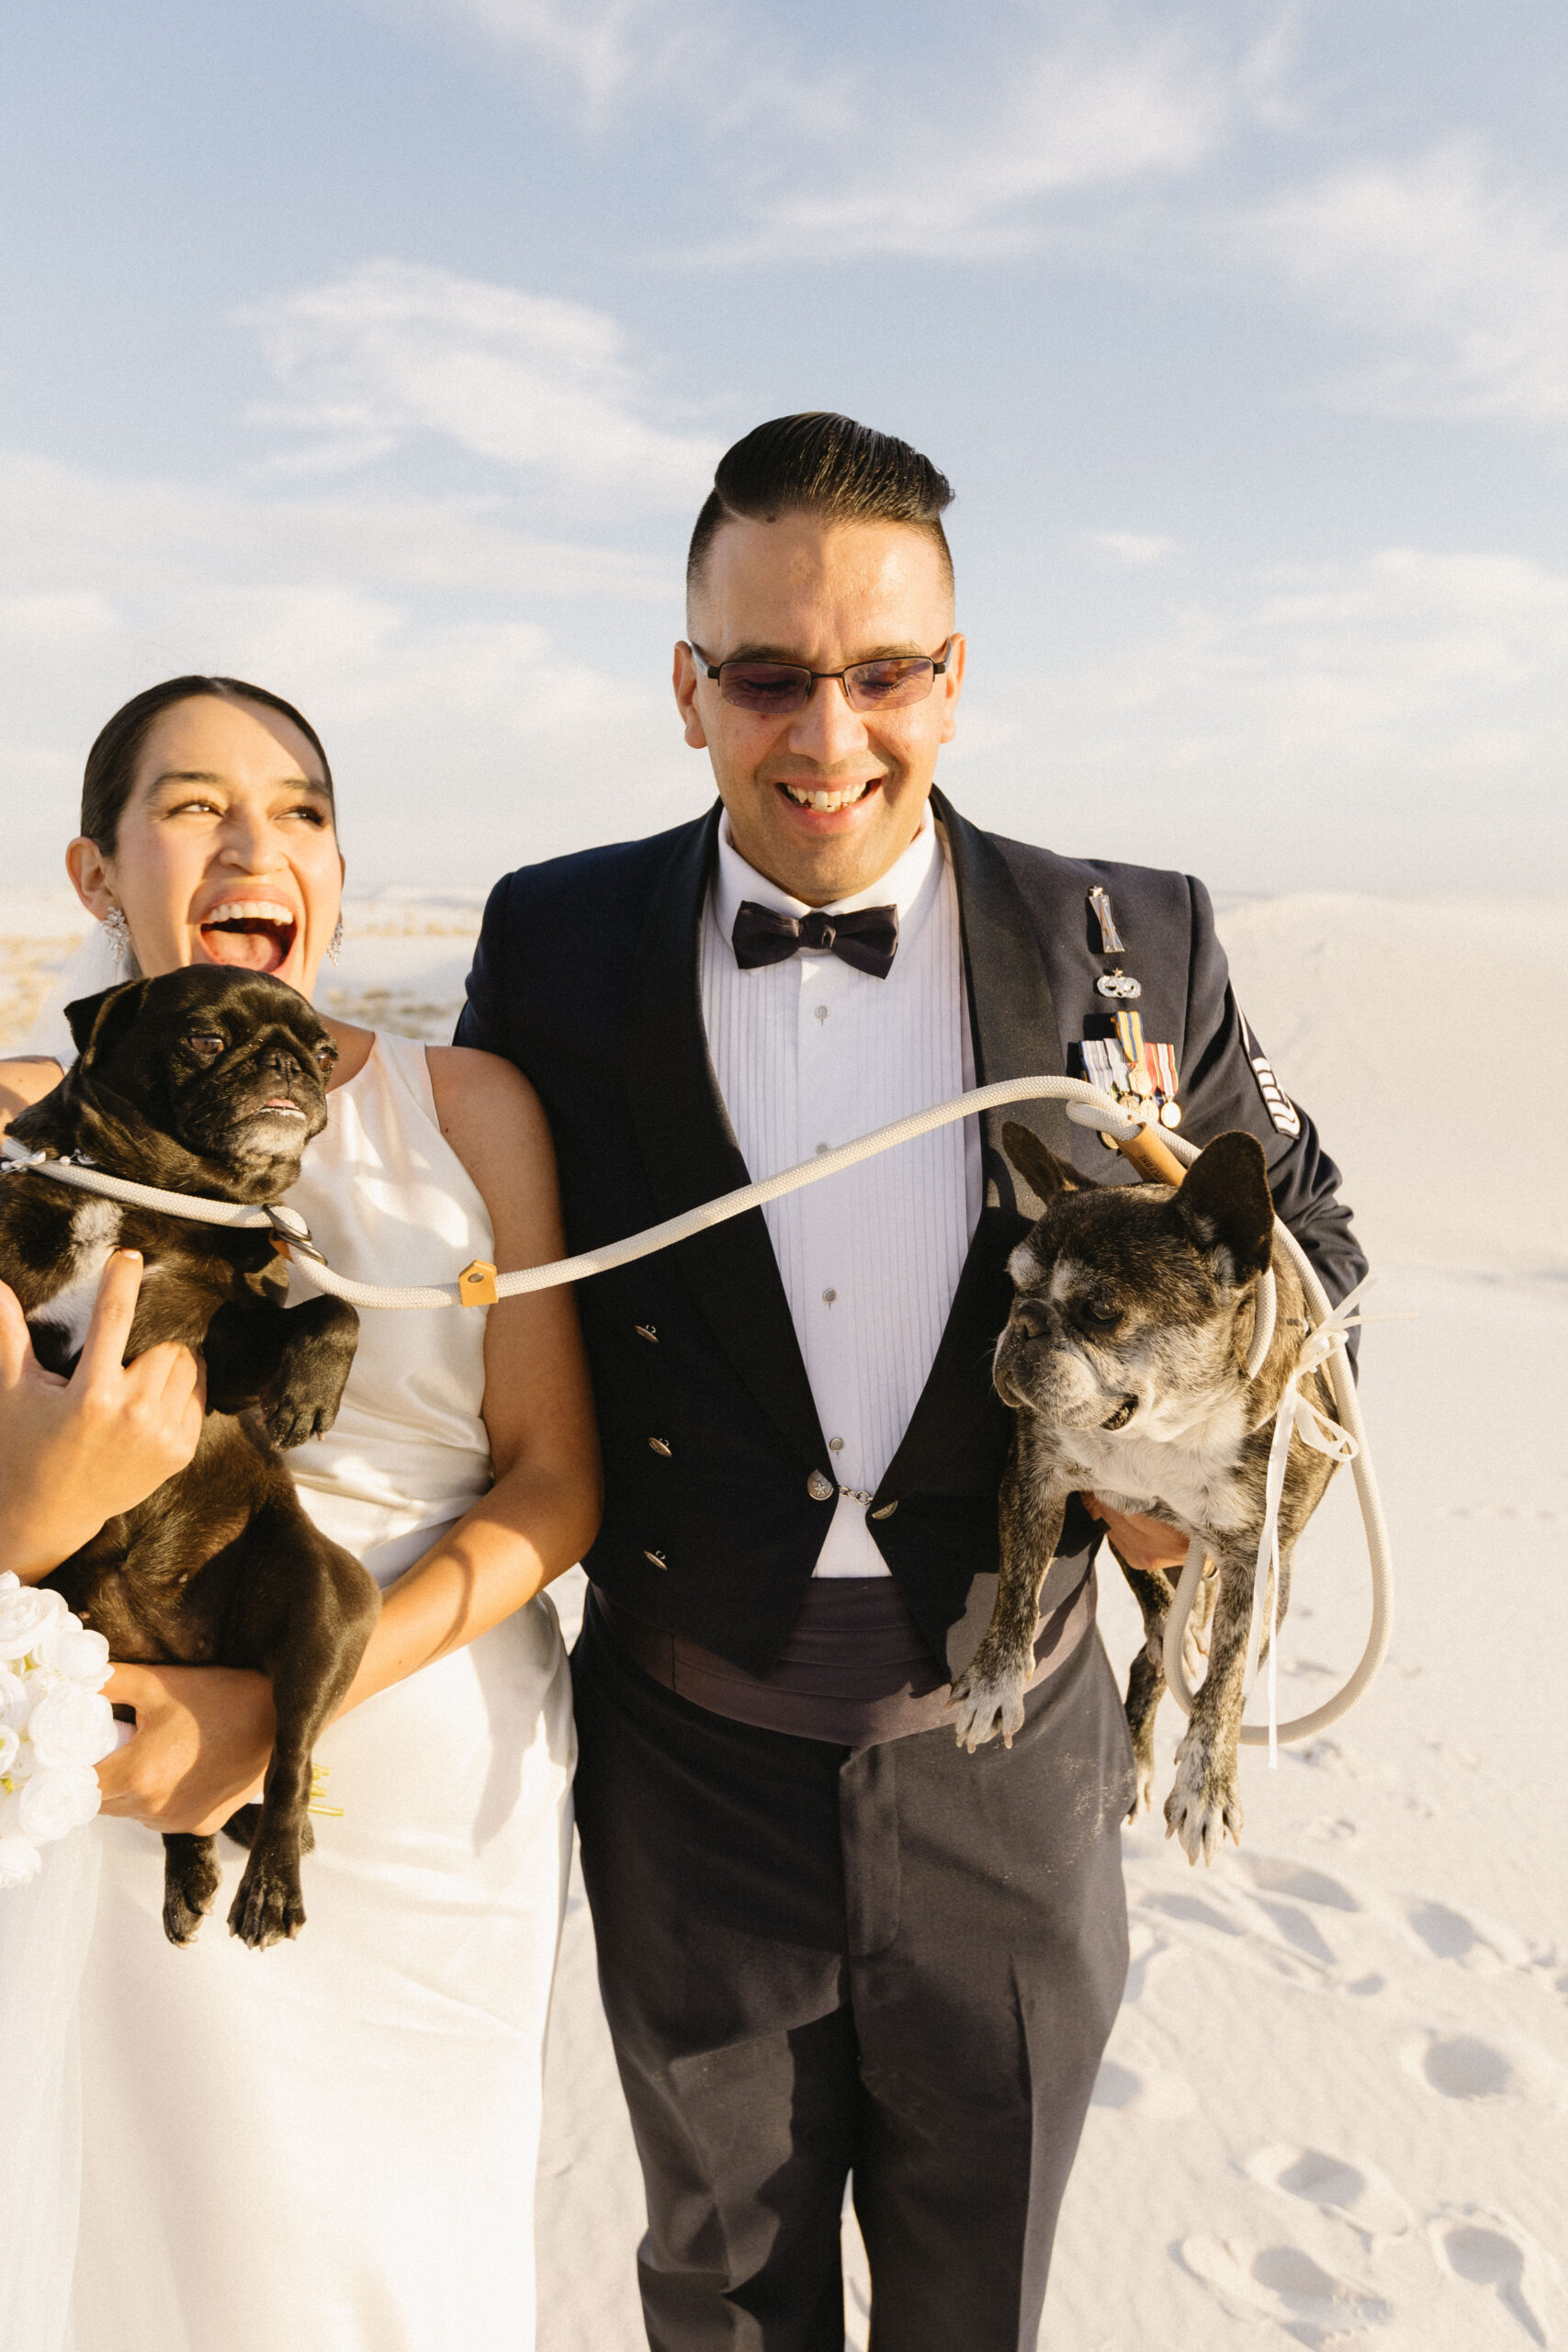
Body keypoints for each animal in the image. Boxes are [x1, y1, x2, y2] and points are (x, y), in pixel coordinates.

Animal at [1, 964, 380, 1938]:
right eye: (207, 1038)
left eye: (324, 1052)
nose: (290, 1064)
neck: (142, 1190)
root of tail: (186, 1653)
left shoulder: (223, 1360)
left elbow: (333, 1307)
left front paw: (306, 1396)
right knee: (182, 1793)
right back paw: (191, 1874)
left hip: (327, 1607)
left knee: (288, 1759)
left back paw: (269, 1882)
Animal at [949, 1119, 1344, 1853]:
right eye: (1012, 1285)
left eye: (1102, 1310)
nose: (1024, 1322)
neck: (1160, 1430)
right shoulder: (1034, 1478)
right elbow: (1017, 1586)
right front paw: (995, 1684)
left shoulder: (1257, 1562)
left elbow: (1227, 1683)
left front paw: (1207, 1787)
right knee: (1157, 1637)